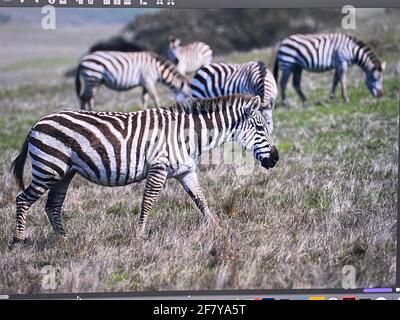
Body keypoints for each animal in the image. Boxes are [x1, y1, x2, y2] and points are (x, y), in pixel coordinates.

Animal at [9, 94, 278, 246]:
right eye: (260, 128)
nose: (275, 159)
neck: (188, 135)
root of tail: (37, 123)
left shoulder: (185, 171)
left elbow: (201, 200)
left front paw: (219, 230)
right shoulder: (158, 168)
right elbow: (147, 202)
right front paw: (139, 236)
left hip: (64, 173)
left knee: (52, 206)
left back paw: (64, 242)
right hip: (49, 169)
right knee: (22, 200)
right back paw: (18, 241)